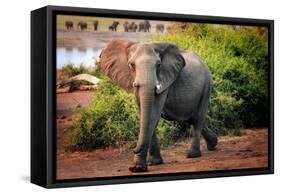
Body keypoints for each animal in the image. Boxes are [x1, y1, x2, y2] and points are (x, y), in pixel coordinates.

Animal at [99, 39, 218, 171]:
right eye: (131, 65)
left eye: (158, 65)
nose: (134, 149)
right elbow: (144, 114)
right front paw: (151, 163)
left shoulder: (164, 80)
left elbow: (153, 114)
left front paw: (138, 167)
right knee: (191, 119)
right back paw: (213, 143)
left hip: (207, 86)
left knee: (197, 120)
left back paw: (193, 154)